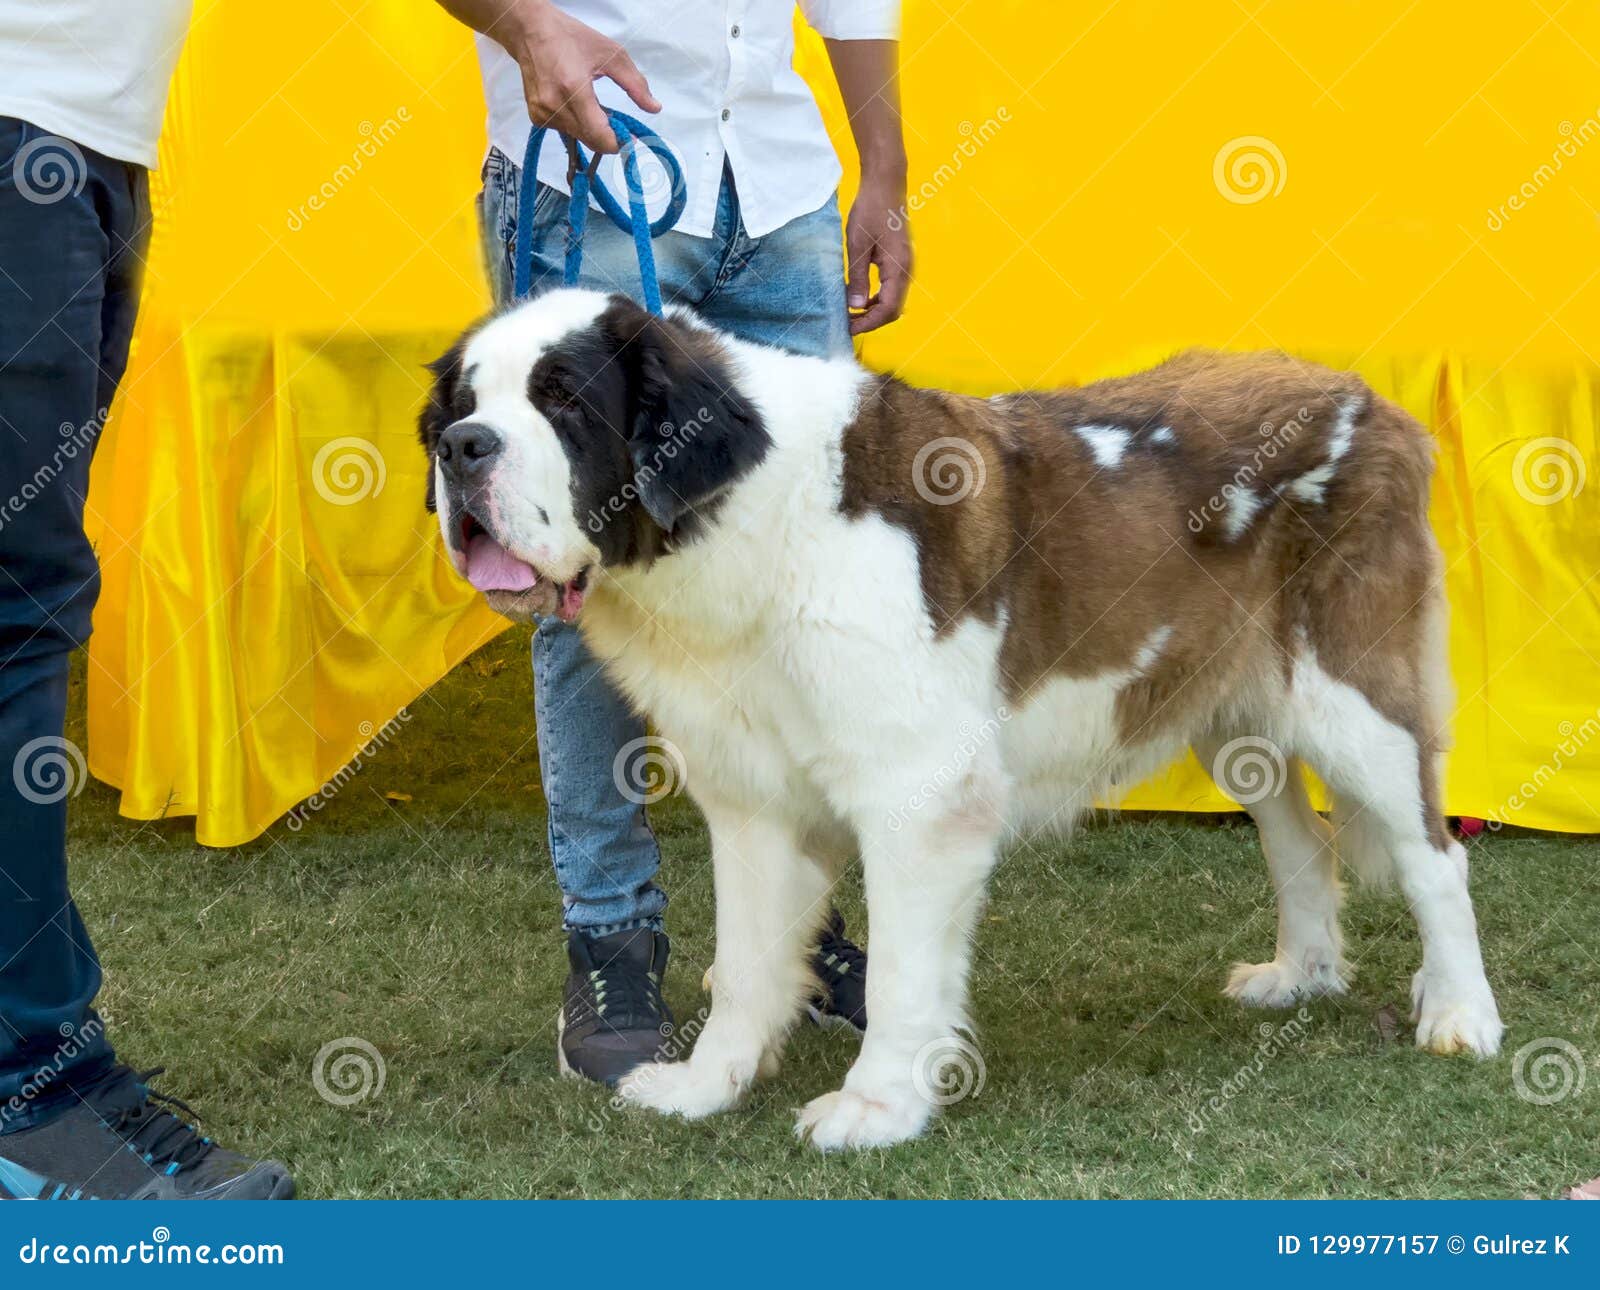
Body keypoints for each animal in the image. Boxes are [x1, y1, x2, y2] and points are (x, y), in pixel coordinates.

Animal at [419, 289, 1504, 1152]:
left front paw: (875, 1109)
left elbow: (903, 973)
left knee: (1434, 857)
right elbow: (744, 964)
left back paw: (1460, 1014)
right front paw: (706, 1086)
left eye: (564, 399)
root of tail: (1367, 401)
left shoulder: (919, 796)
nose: (461, 449)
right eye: (465, 404)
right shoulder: (755, 802)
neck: (744, 521)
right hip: (1233, 710)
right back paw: (1300, 975)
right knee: (1297, 837)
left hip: (1353, 696)